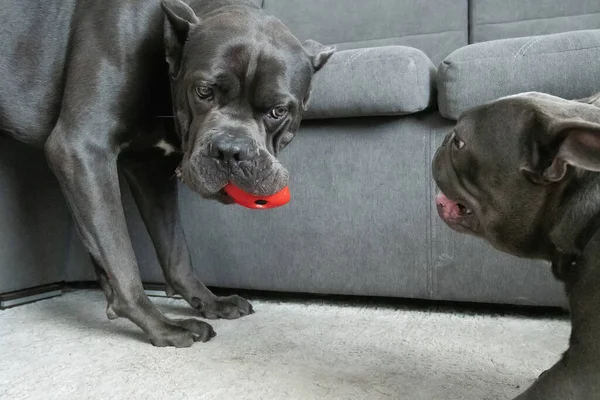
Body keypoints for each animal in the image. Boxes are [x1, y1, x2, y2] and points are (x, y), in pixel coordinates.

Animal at [0, 0, 336, 346]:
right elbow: (120, 255)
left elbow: (175, 249)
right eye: (203, 91)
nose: (230, 150)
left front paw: (209, 301)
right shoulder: (81, 148)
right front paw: (161, 325)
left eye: (278, 111)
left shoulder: (151, 170)